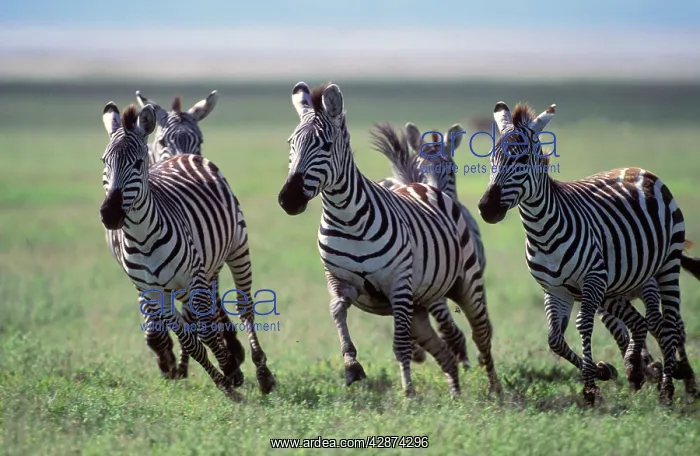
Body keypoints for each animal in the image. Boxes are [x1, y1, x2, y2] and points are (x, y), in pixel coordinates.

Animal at [98, 101, 276, 400]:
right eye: (104, 162)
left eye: (138, 163)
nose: (110, 214)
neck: (142, 237)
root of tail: (182, 156)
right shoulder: (154, 292)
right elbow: (191, 339)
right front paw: (224, 382)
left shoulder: (193, 278)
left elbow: (205, 330)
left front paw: (232, 370)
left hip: (237, 249)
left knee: (245, 309)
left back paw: (263, 374)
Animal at [277, 82, 502, 397]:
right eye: (291, 144)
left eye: (326, 145)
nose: (289, 199)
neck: (346, 217)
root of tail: (418, 184)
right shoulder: (341, 282)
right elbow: (336, 310)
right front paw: (351, 365)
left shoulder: (398, 284)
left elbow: (400, 346)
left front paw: (408, 393)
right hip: (419, 304)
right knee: (444, 348)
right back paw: (456, 394)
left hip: (465, 285)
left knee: (480, 334)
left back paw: (495, 390)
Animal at [476, 100, 700, 405]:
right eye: (492, 161)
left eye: (521, 160)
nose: (486, 208)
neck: (541, 232)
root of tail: (640, 169)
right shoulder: (555, 289)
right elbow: (555, 340)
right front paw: (604, 371)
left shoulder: (592, 280)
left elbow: (583, 325)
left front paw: (591, 388)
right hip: (620, 286)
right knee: (642, 322)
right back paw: (638, 371)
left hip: (665, 267)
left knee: (668, 324)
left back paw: (669, 387)